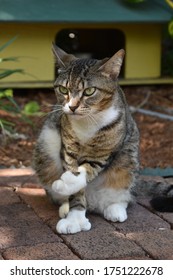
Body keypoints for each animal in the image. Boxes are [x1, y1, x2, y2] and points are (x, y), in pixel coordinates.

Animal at [33, 45, 140, 234]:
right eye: (63, 90)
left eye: (89, 91)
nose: (72, 107)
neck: (87, 123)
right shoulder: (68, 149)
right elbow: (76, 188)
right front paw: (74, 217)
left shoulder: (104, 152)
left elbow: (86, 170)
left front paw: (68, 182)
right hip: (46, 145)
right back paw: (65, 207)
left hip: (128, 159)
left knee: (123, 192)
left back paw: (115, 209)